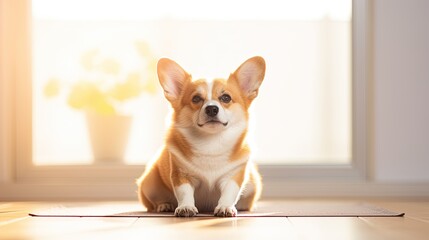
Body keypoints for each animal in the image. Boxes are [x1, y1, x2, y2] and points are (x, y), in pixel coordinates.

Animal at [137, 56, 264, 218]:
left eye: (226, 98)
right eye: (196, 99)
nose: (211, 109)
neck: (211, 143)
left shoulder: (233, 176)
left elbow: (229, 192)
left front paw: (225, 207)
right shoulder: (181, 175)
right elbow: (184, 193)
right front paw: (186, 208)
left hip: (253, 185)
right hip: (150, 184)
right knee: (155, 201)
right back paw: (165, 205)